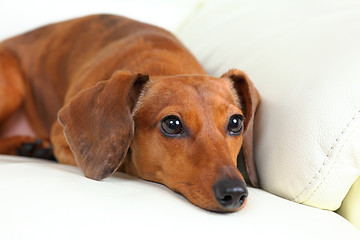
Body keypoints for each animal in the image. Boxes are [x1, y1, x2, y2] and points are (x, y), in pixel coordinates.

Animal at [0, 14, 260, 212]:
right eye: (172, 124)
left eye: (236, 122)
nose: (234, 192)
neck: (163, 62)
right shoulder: (62, 142)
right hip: (10, 87)